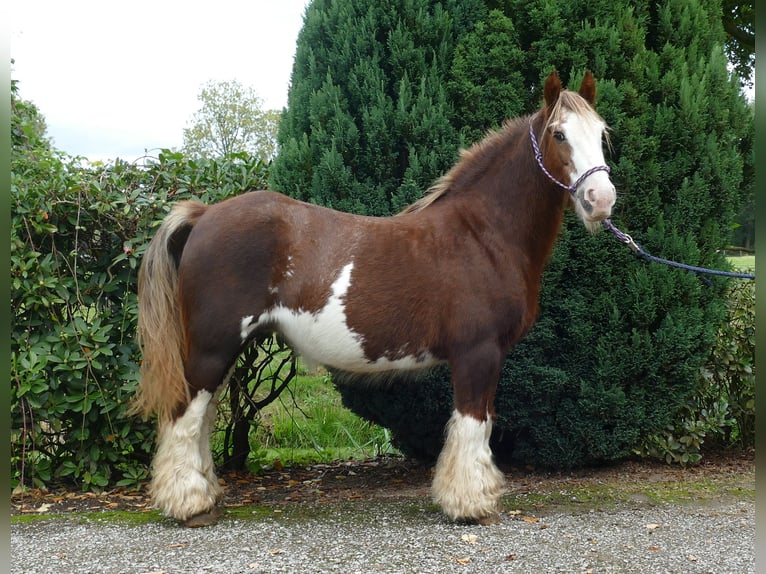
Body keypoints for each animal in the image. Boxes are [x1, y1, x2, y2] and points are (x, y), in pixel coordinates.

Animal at [134, 70, 616, 528]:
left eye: (601, 132)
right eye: (559, 134)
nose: (601, 200)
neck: (482, 234)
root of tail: (204, 215)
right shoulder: (478, 352)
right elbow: (472, 425)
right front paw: (470, 504)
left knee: (202, 419)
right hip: (213, 346)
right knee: (185, 416)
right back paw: (189, 504)